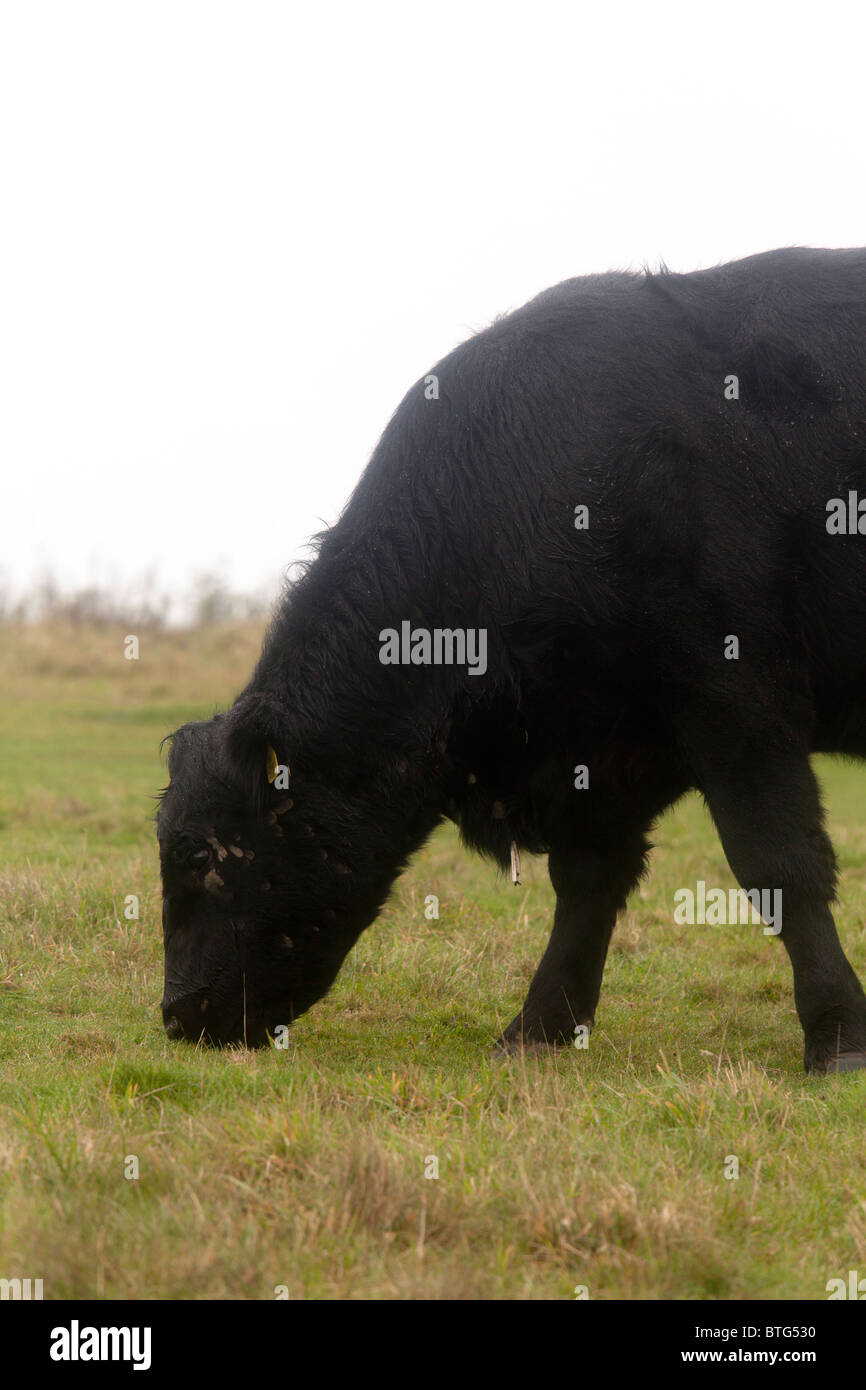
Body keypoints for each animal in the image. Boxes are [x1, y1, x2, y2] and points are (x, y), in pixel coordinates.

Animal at [159, 247, 866, 1073]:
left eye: (201, 855)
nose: (176, 1011)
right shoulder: (601, 753)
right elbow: (588, 884)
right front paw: (538, 1029)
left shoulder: (739, 705)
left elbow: (781, 866)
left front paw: (838, 1036)